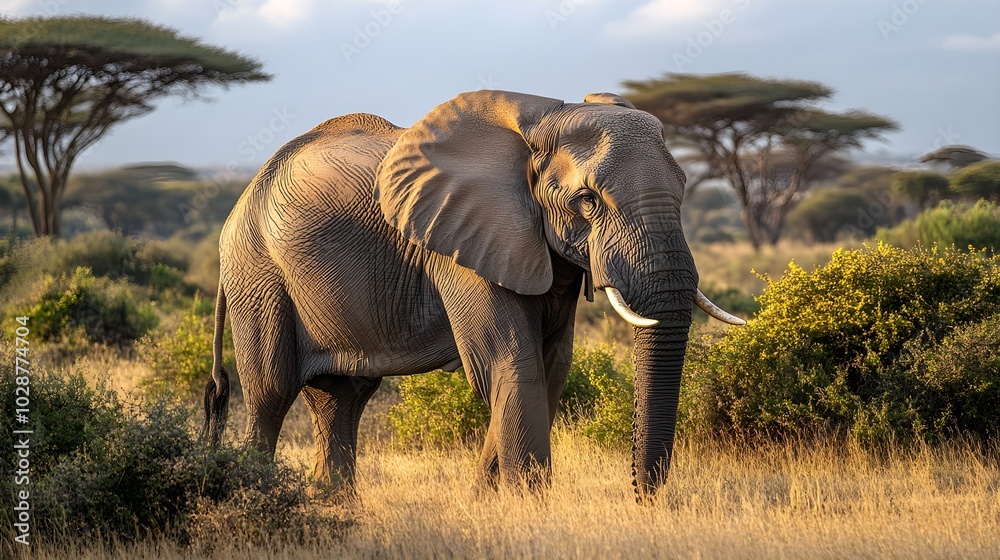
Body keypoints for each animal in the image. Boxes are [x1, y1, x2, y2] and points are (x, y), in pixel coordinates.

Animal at [202, 90, 744, 501]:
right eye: (587, 200)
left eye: (684, 187)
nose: (640, 497)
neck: (544, 119)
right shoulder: (463, 239)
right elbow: (510, 363)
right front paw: (528, 510)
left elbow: (550, 367)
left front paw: (488, 502)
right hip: (258, 273)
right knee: (270, 392)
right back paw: (254, 497)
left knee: (342, 396)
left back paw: (335, 508)